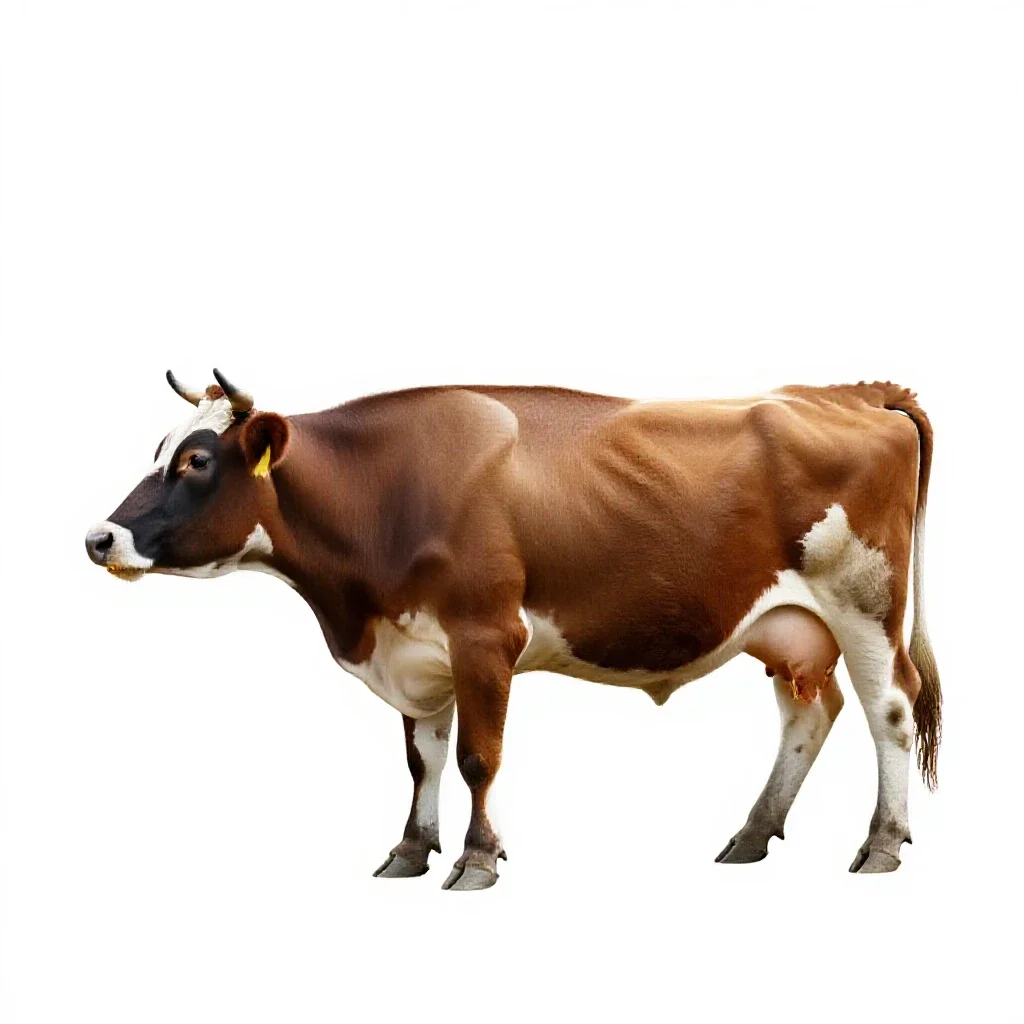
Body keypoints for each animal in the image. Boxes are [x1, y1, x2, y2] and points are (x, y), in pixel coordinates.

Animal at [85, 371, 941, 889]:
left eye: (196, 462)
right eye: (161, 450)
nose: (99, 538)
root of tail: (847, 394)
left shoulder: (484, 638)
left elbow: (476, 758)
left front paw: (476, 858)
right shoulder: (416, 651)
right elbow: (422, 758)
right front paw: (410, 850)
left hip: (865, 603)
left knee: (890, 711)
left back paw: (881, 843)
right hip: (788, 626)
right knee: (810, 714)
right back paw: (752, 833)